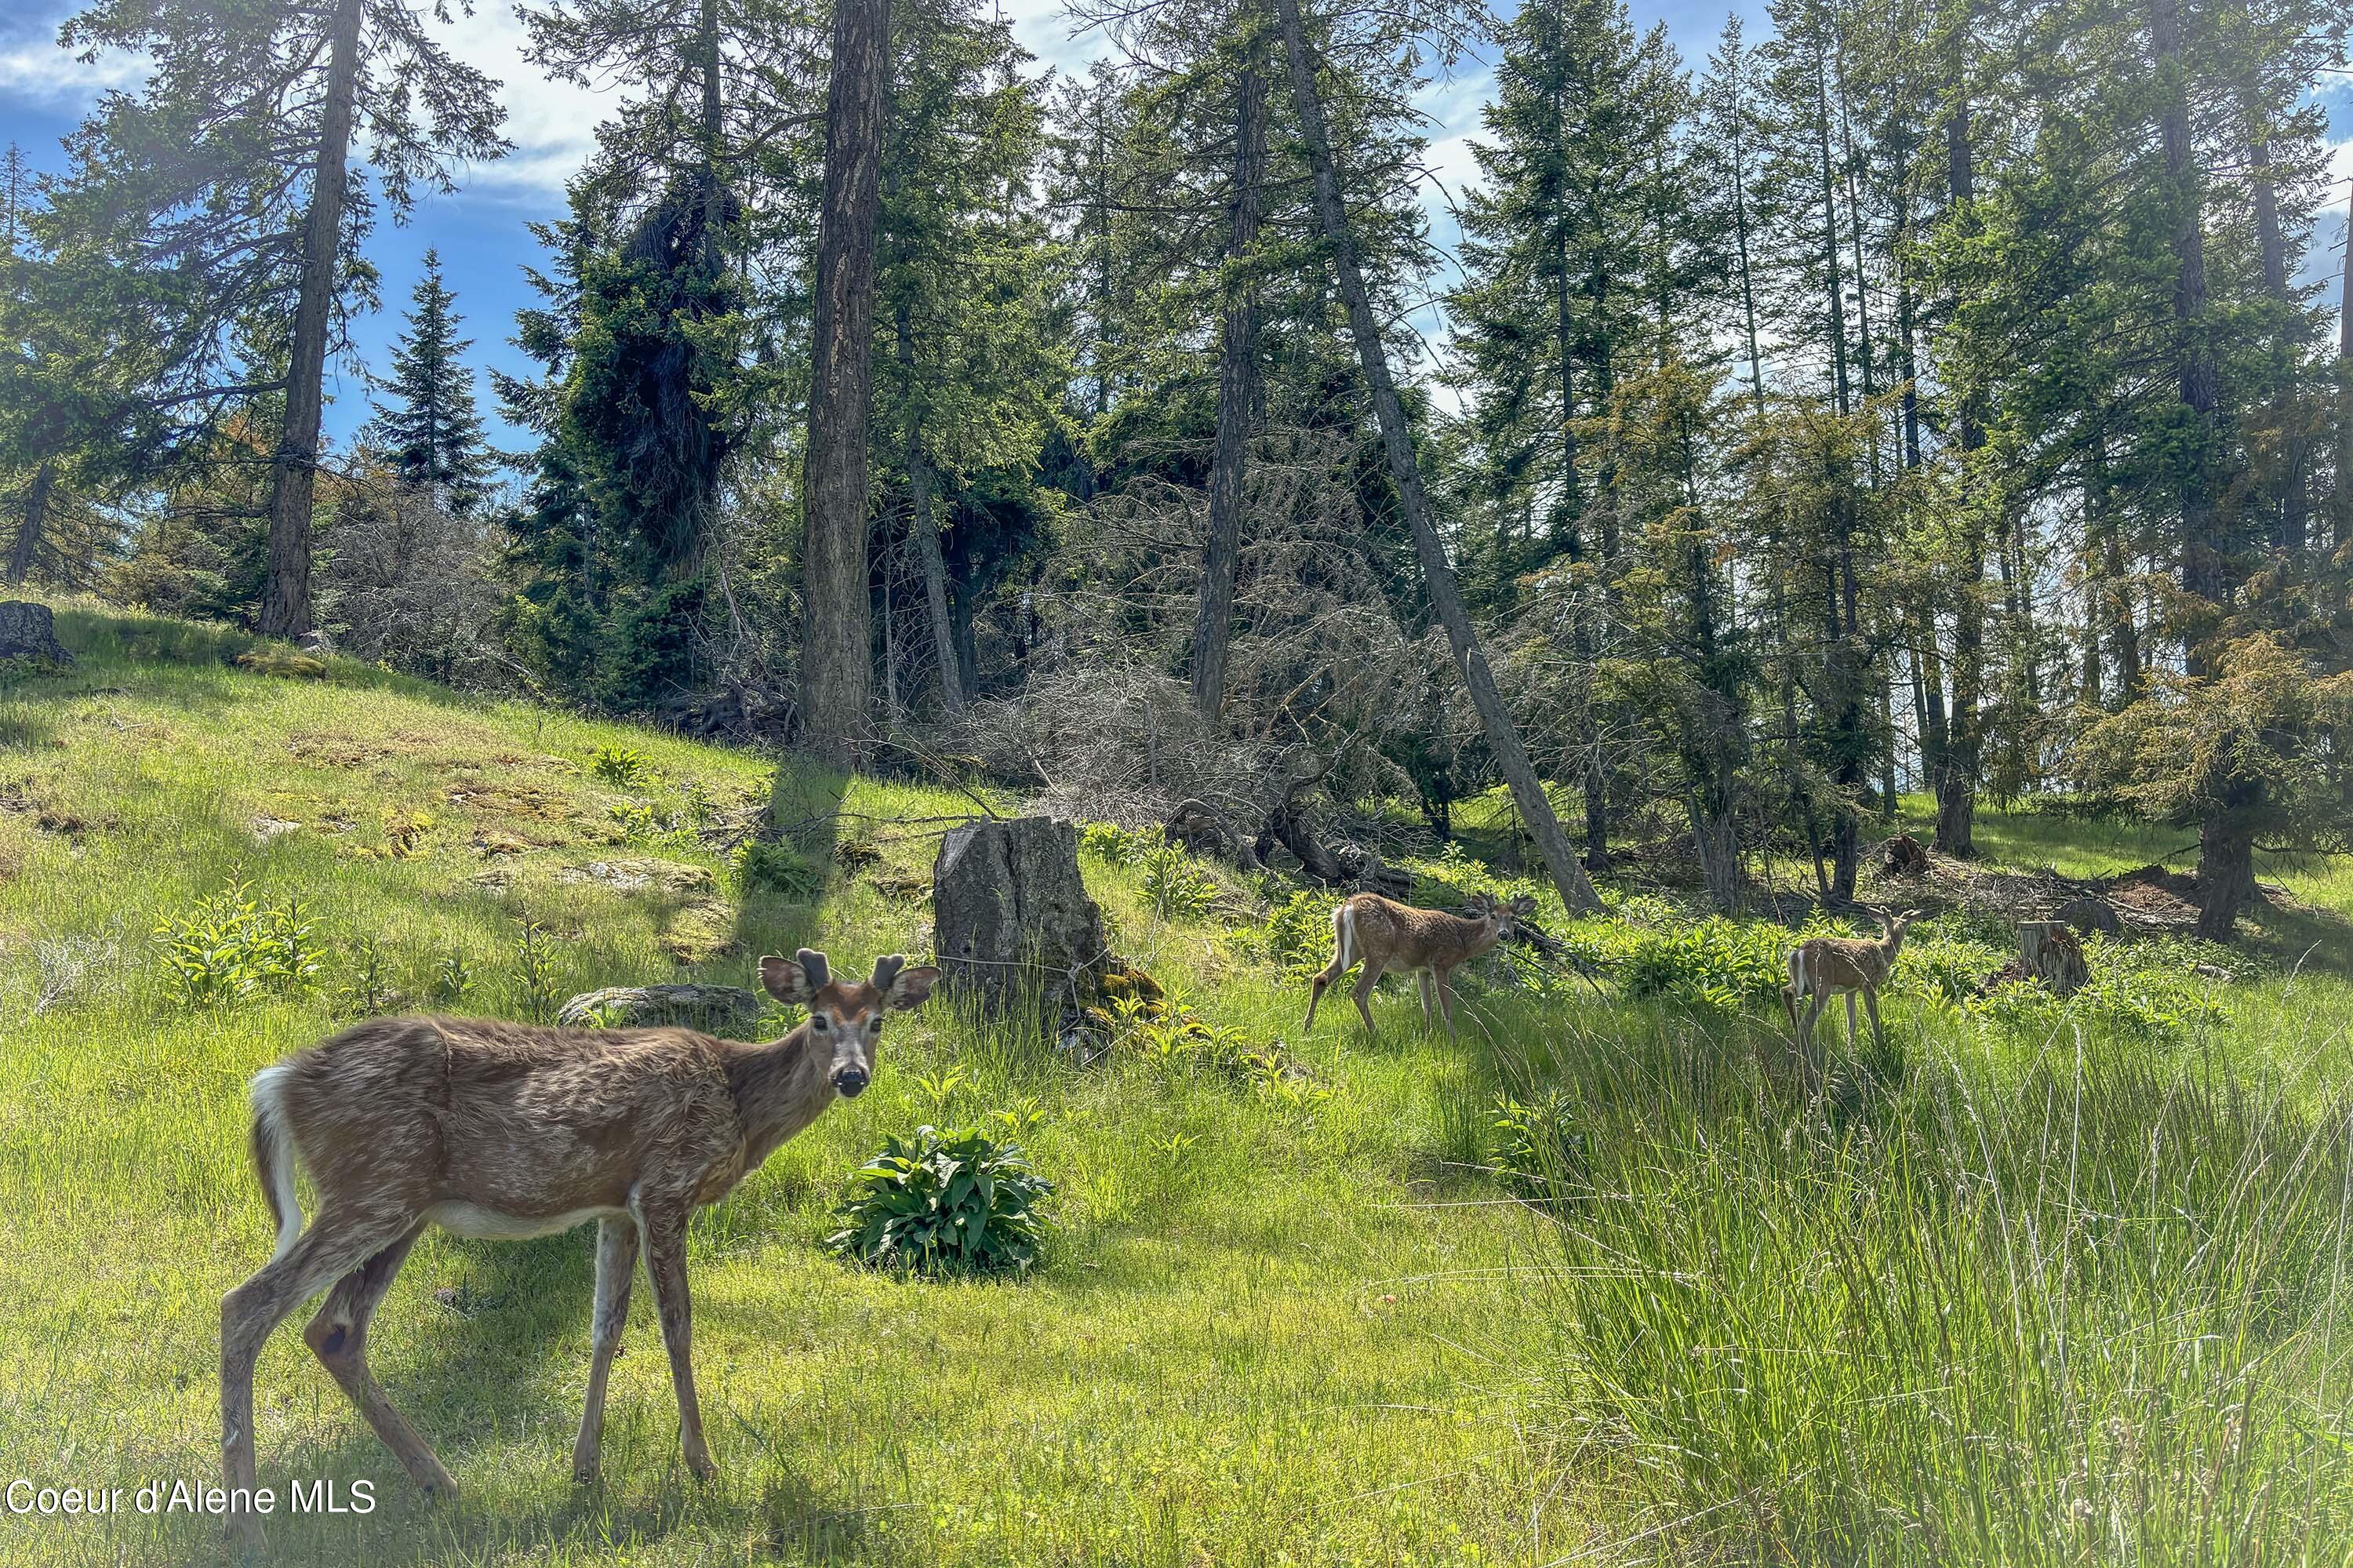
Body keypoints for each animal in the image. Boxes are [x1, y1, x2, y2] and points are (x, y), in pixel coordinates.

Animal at [219, 946, 936, 1544]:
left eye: (877, 1022)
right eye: (818, 1020)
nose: (851, 1077)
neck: (738, 1101)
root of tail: (277, 1081)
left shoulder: (618, 1206)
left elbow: (605, 1324)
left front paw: (585, 1466)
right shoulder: (667, 1185)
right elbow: (677, 1324)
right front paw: (702, 1463)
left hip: (402, 1204)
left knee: (335, 1328)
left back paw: (439, 1480)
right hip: (373, 1186)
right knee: (247, 1304)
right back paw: (246, 1525)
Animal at [1299, 890, 1534, 1035]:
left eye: (1513, 918)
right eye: (1492, 915)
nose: (1504, 934)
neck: (1462, 941)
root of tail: (1348, 907)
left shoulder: (1423, 970)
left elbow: (1427, 1006)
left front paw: (1428, 1035)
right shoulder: (1440, 963)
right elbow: (1446, 1007)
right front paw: (1453, 1040)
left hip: (1350, 950)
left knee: (1321, 978)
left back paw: (1307, 1027)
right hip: (1378, 949)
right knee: (1359, 992)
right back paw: (1376, 1032)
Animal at [1769, 908, 1920, 1082]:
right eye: (1906, 925)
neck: (1884, 953)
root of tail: (1798, 952)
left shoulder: (1850, 991)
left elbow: (1852, 1024)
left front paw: (1851, 1057)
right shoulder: (1869, 984)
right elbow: (1874, 1021)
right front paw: (1880, 1049)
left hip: (1804, 985)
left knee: (1786, 992)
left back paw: (1795, 1041)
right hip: (1822, 985)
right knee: (1807, 1023)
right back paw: (1808, 1058)